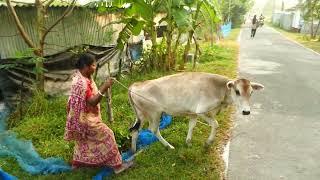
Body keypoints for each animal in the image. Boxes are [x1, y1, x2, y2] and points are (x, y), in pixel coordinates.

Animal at [127, 71, 262, 152]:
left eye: (251, 92)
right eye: (237, 91)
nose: (246, 111)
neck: (220, 89)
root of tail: (135, 85)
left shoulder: (193, 113)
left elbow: (192, 126)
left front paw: (188, 142)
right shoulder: (201, 111)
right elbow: (215, 124)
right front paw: (208, 142)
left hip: (141, 115)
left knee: (135, 130)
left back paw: (133, 151)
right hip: (154, 114)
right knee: (153, 130)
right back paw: (169, 146)